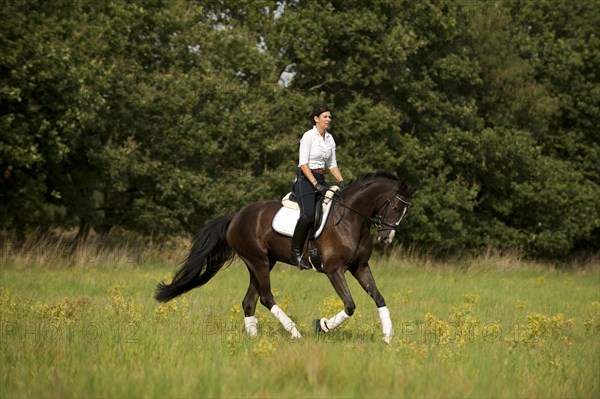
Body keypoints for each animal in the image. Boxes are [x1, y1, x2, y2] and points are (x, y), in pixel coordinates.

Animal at [155, 172, 414, 344]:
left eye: (404, 211)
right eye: (395, 208)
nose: (387, 237)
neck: (351, 219)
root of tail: (235, 218)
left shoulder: (360, 267)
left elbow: (379, 298)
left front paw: (388, 336)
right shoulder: (334, 270)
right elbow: (350, 305)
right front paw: (321, 326)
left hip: (261, 264)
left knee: (249, 301)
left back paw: (254, 340)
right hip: (258, 262)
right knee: (266, 298)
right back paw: (295, 333)